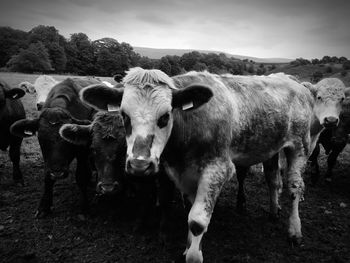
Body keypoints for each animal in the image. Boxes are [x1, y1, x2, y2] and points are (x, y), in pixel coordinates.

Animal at [10, 78, 100, 219]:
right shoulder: (48, 159)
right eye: (41, 138)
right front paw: (44, 206)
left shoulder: (82, 151)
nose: (57, 172)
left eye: (68, 139)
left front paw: (84, 207)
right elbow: (47, 177)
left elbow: (82, 176)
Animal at [78, 68, 344, 263]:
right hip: (271, 149)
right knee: (273, 180)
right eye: (124, 116)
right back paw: (273, 210)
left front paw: (193, 255)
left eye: (165, 116)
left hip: (300, 146)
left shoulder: (217, 169)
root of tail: (294, 83)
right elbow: (189, 211)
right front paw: (187, 248)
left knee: (294, 187)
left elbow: (196, 220)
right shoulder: (183, 173)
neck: (191, 124)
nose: (139, 165)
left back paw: (294, 230)